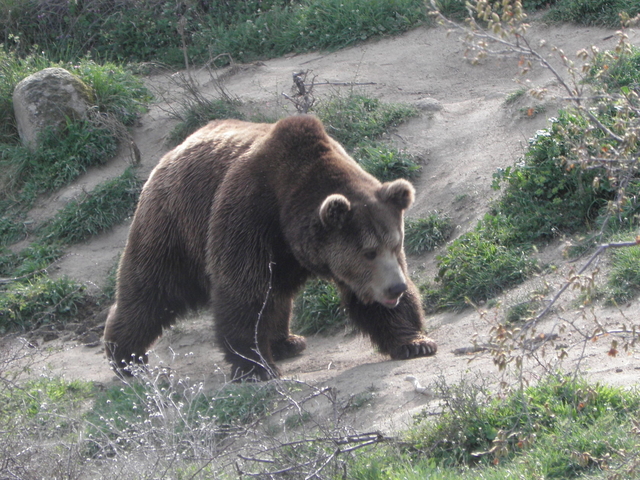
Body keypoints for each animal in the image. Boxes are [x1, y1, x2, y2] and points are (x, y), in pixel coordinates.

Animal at [104, 115, 436, 378]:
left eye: (395, 245)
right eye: (368, 252)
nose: (396, 287)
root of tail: (171, 152)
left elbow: (369, 301)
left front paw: (415, 342)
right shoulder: (249, 213)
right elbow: (243, 290)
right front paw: (256, 366)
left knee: (276, 294)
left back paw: (287, 341)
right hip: (175, 225)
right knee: (152, 288)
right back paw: (125, 356)